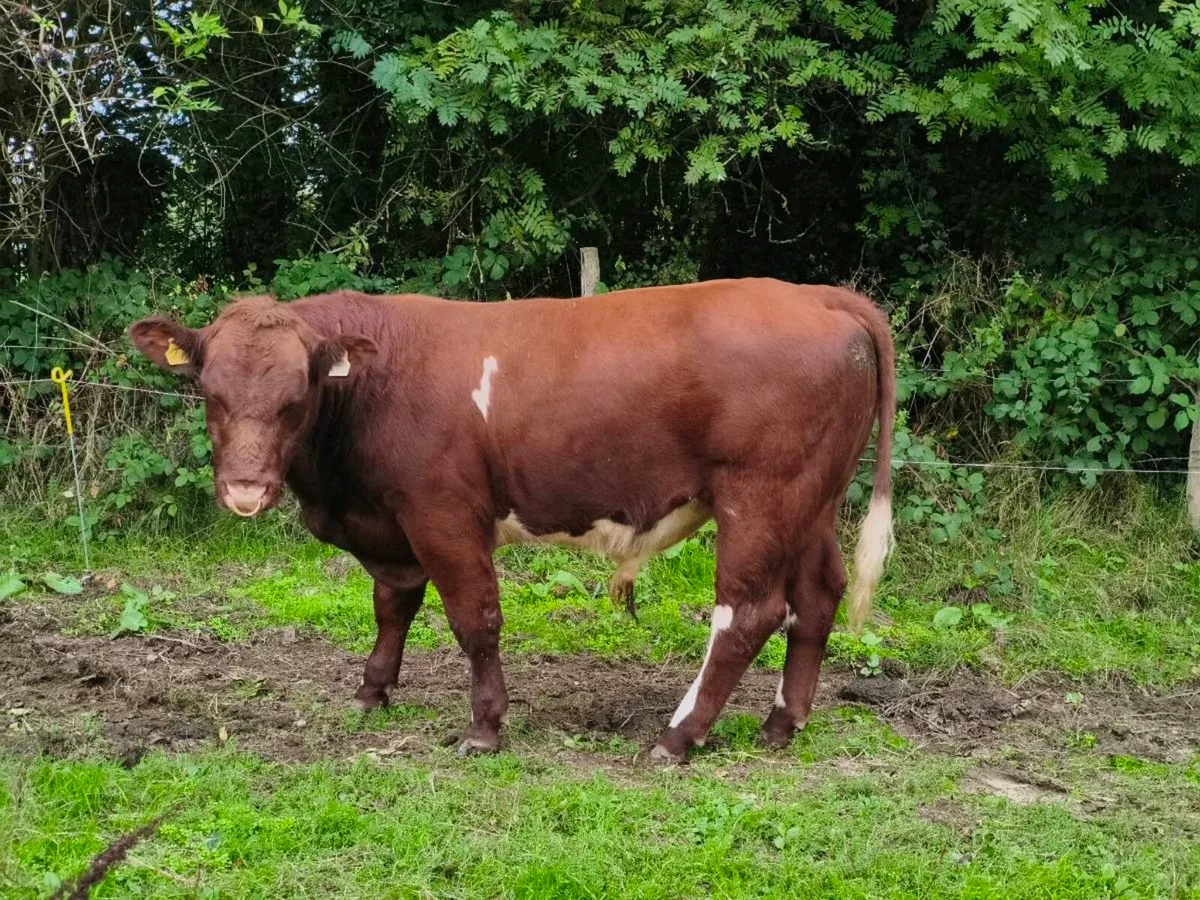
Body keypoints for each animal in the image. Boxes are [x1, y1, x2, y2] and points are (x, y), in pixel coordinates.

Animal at [129, 277, 895, 762]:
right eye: (210, 392)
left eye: (297, 398)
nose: (246, 490)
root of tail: (815, 295)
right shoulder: (393, 525)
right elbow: (391, 605)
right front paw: (372, 692)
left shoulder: (443, 514)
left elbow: (475, 620)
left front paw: (484, 728)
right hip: (810, 500)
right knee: (816, 596)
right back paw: (781, 723)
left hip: (760, 495)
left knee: (748, 612)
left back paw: (678, 738)